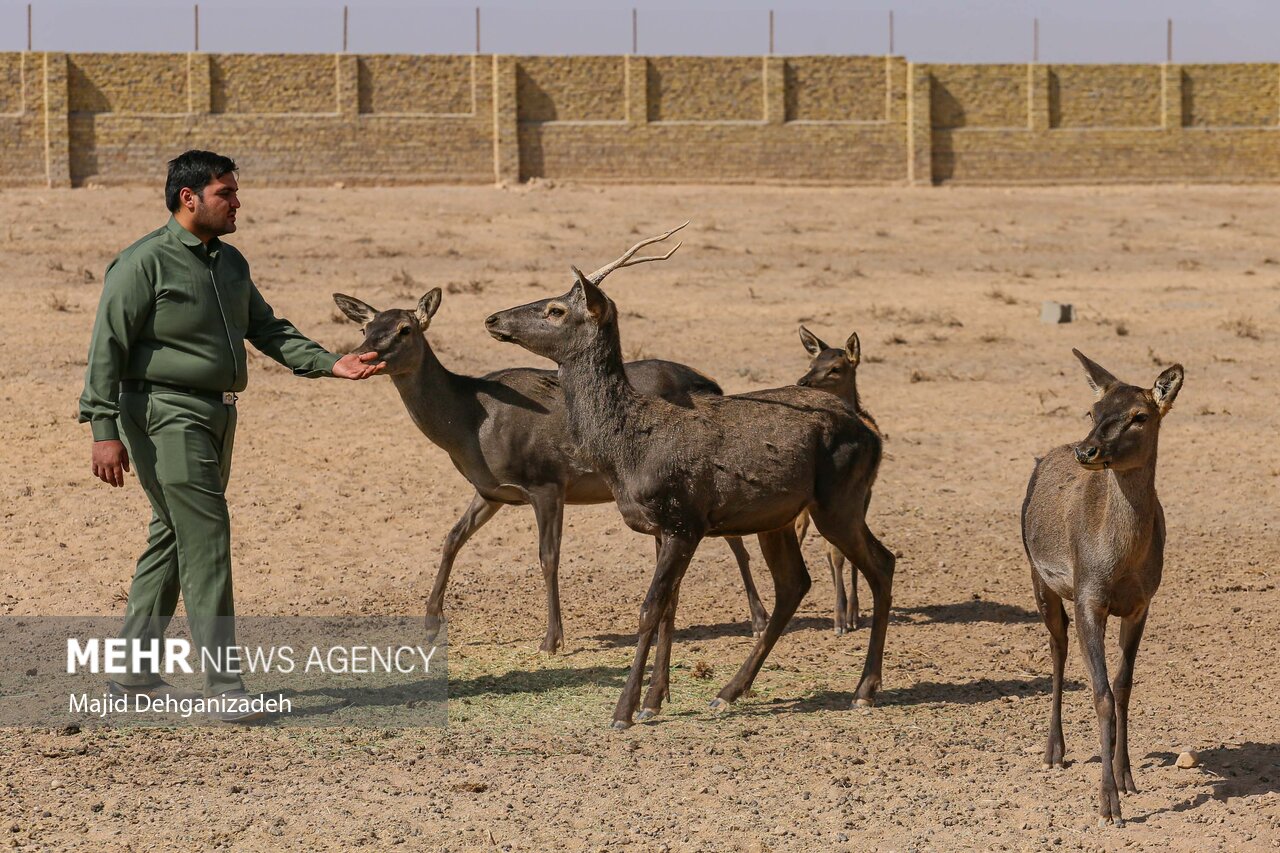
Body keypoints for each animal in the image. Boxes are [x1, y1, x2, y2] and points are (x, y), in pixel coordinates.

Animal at [335, 222, 762, 648]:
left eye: (405, 329)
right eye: (365, 326)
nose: (362, 355)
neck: (470, 426)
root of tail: (712, 384)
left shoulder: (547, 481)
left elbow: (548, 556)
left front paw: (552, 638)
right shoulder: (492, 490)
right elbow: (453, 537)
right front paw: (430, 623)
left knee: (733, 536)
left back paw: (757, 620)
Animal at [788, 325, 880, 630]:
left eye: (835, 368)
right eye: (811, 363)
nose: (802, 381)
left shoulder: (865, 492)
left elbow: (845, 553)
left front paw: (851, 614)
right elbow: (834, 551)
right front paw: (840, 616)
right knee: (806, 535)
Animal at [1018, 348, 1187, 824]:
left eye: (1140, 416)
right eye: (1092, 411)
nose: (1087, 449)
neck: (1119, 563)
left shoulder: (1141, 604)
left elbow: (1124, 687)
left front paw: (1127, 777)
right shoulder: (1089, 597)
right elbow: (1101, 695)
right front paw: (1107, 804)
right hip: (1040, 577)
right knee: (1057, 648)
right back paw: (1053, 751)